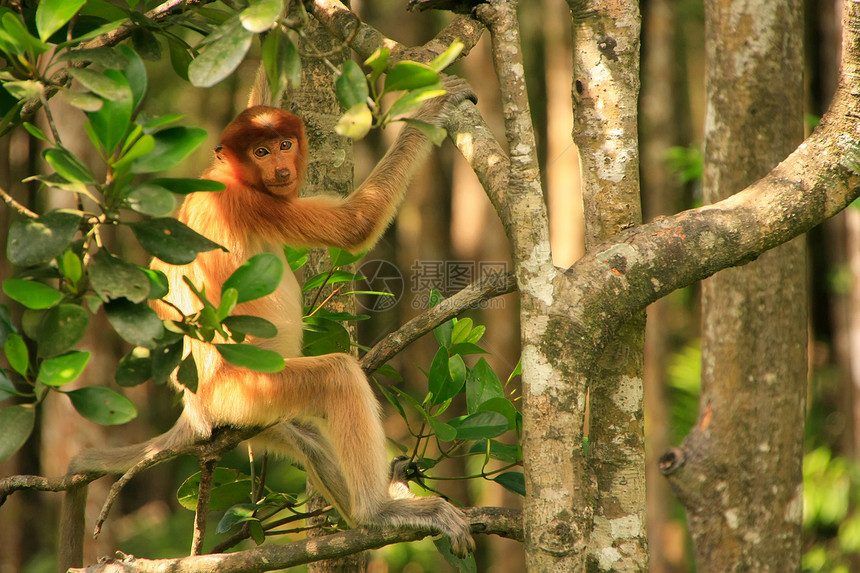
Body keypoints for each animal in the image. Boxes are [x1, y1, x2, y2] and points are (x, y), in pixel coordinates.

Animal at [60, 77, 478, 568]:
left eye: (283, 144)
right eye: (260, 152)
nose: (281, 168)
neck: (233, 178)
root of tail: (194, 410)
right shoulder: (255, 203)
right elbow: (356, 224)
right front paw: (436, 104)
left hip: (255, 410)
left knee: (307, 435)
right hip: (245, 389)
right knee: (337, 376)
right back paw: (377, 512)